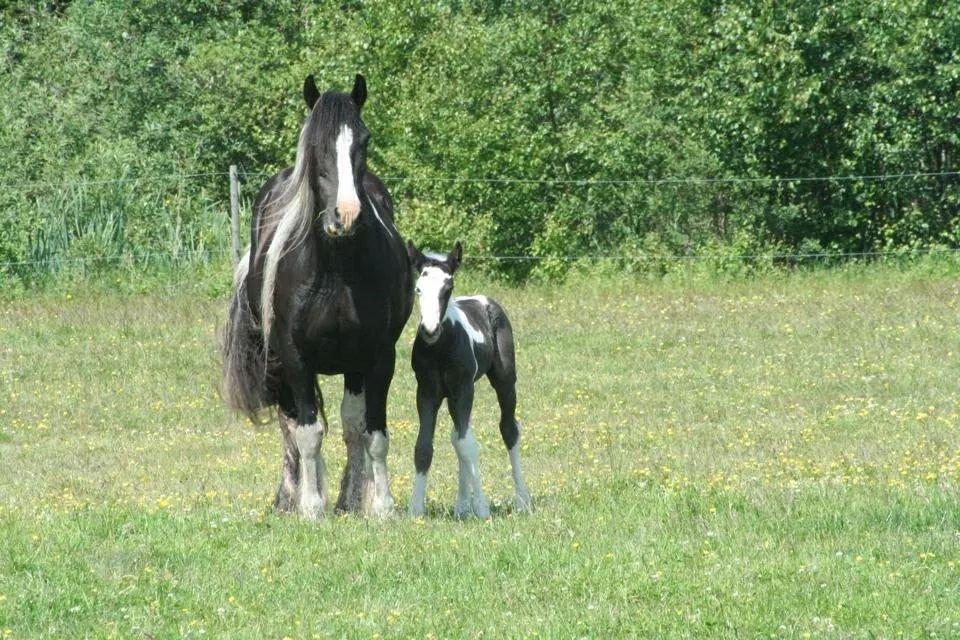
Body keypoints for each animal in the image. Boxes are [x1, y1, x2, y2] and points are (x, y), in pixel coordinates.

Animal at [221, 75, 412, 516]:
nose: (346, 215)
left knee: (350, 426)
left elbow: (371, 433)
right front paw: (310, 506)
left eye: (364, 140)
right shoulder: (295, 357)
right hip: (279, 366)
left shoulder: (378, 357)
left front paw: (378, 504)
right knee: (291, 424)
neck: (337, 270)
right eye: (315, 145)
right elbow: (307, 433)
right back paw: (291, 497)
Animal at [402, 242, 528, 516]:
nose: (430, 330)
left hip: (504, 381)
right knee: (457, 435)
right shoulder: (426, 392)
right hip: (453, 397)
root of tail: (486, 301)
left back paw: (523, 500)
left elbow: (468, 446)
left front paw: (481, 508)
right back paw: (461, 506)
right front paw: (416, 508)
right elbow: (424, 446)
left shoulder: (463, 389)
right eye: (418, 289)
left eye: (448, 288)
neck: (440, 349)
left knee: (508, 429)